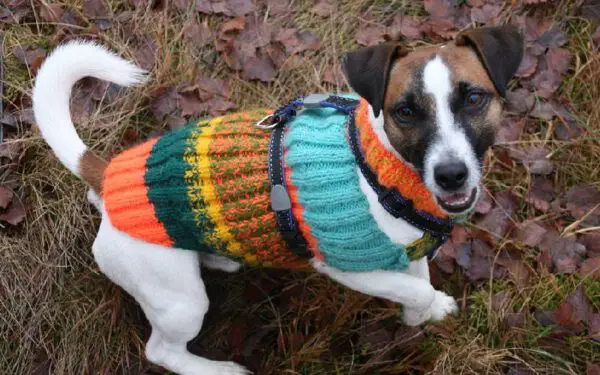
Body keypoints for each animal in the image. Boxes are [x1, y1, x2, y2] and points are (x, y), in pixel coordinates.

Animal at [31, 25, 520, 375]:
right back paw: (218, 371)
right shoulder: (344, 266)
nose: (452, 174)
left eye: (474, 99)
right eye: (405, 111)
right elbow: (415, 287)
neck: (378, 165)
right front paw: (421, 310)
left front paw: (426, 313)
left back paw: (218, 258)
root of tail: (107, 176)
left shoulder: (409, 250)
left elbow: (419, 281)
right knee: (161, 351)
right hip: (180, 301)